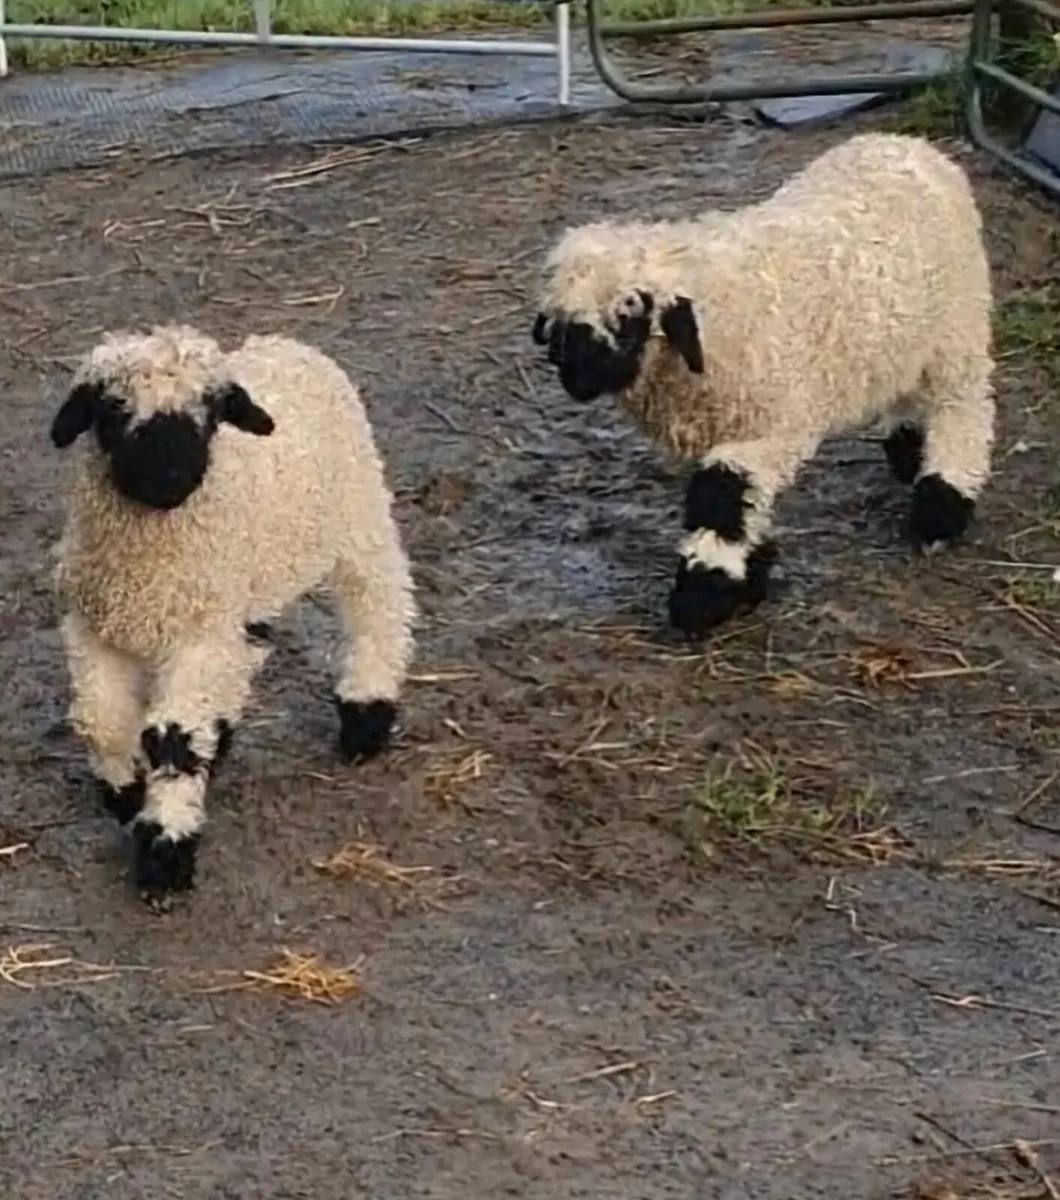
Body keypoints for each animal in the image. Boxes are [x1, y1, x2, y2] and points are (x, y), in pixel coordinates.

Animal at [49, 324, 416, 904]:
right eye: (112, 409)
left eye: (211, 410)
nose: (170, 478)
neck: (146, 564)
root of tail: (286, 343)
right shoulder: (93, 627)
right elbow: (101, 723)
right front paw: (127, 793)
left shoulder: (197, 637)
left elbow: (172, 742)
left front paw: (165, 854)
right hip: (245, 591)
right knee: (245, 654)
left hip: (358, 515)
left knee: (379, 602)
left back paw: (366, 713)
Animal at [530, 132, 996, 640]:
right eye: (559, 318)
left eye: (631, 317)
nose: (573, 376)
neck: (721, 311)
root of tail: (909, 142)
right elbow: (745, 507)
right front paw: (748, 577)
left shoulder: (770, 430)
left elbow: (721, 497)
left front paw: (703, 597)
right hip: (907, 339)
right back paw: (910, 451)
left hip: (958, 328)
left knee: (964, 409)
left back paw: (941, 506)